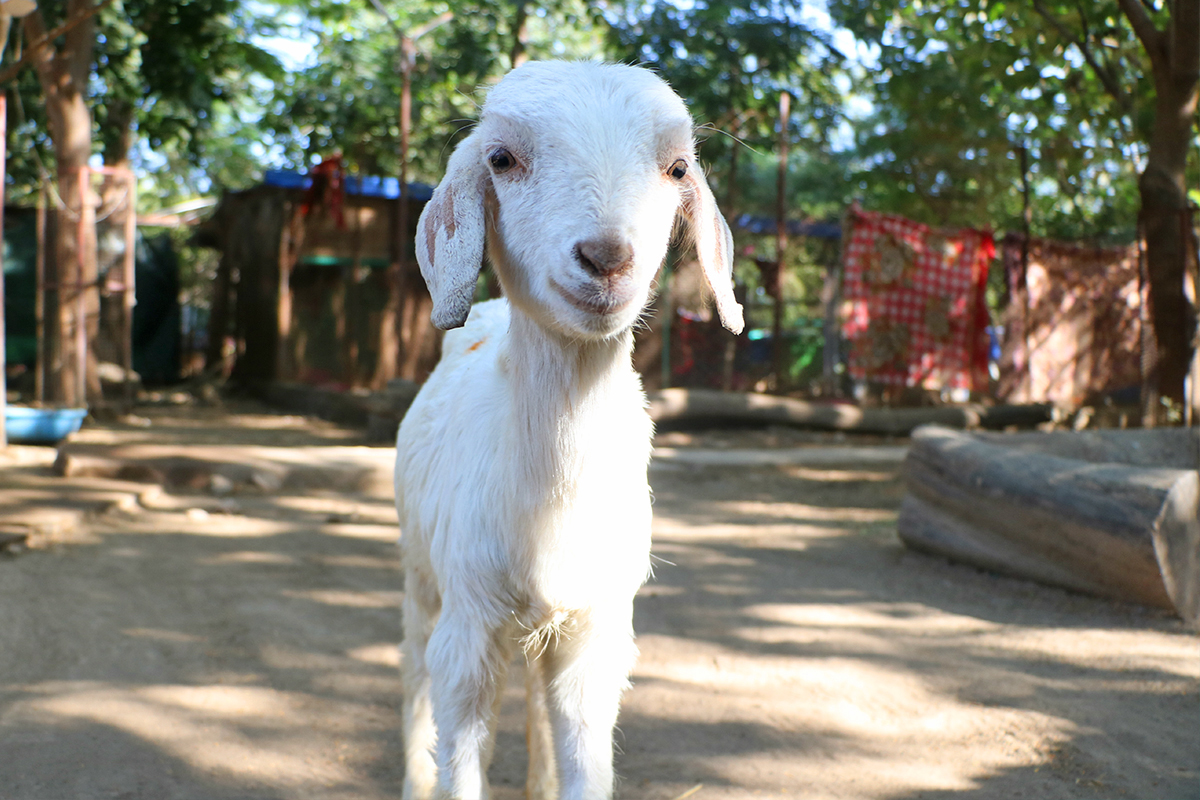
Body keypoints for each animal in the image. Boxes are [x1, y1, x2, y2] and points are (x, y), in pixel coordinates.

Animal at [394, 60, 743, 800]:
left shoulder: (597, 631)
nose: (607, 258)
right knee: (412, 671)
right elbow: (458, 746)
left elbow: (584, 749)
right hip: (420, 571)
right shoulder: (468, 626)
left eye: (677, 167)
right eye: (500, 159)